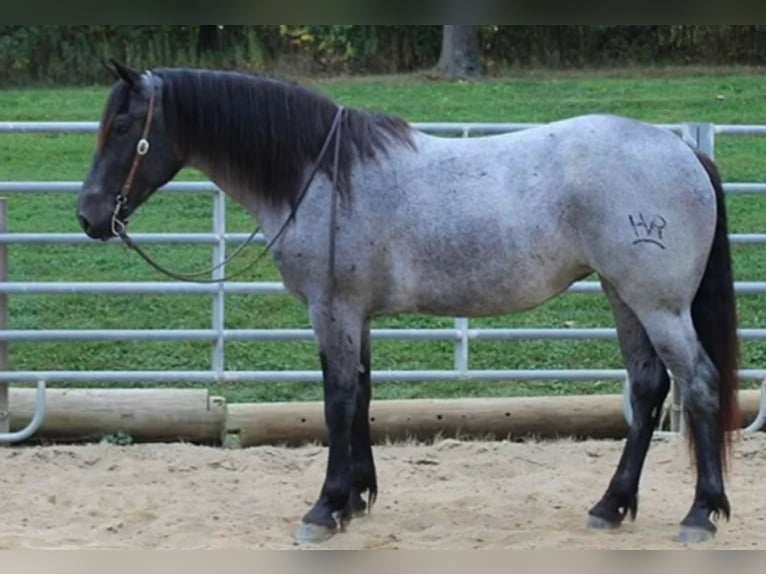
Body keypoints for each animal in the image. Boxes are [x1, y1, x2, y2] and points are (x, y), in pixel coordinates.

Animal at [77, 60, 740, 545]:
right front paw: (357, 499)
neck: (322, 176)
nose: (89, 216)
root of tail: (681, 151)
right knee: (649, 389)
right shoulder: (355, 316)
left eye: (122, 128)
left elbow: (337, 402)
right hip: (622, 295)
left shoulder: (333, 311)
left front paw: (325, 509)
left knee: (699, 384)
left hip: (658, 305)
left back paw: (701, 514)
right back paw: (611, 505)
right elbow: (363, 396)